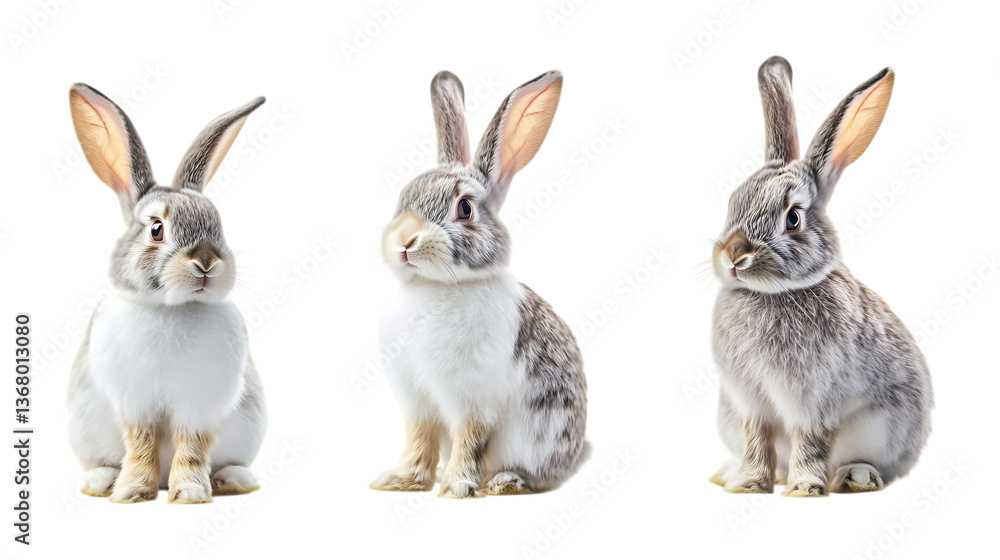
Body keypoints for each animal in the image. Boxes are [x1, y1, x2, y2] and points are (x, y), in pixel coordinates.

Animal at [66, 83, 267, 504]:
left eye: (217, 224)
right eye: (156, 229)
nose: (206, 262)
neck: (171, 308)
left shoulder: (201, 402)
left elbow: (192, 446)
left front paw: (190, 492)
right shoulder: (135, 402)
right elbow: (141, 445)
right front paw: (131, 492)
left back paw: (232, 480)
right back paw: (102, 482)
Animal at [370, 71, 590, 498]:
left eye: (464, 209)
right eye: (404, 198)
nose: (404, 240)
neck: (434, 287)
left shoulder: (473, 398)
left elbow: (469, 439)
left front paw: (457, 486)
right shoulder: (417, 401)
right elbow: (419, 439)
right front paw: (401, 481)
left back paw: (503, 482)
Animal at [709, 57, 933, 496]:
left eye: (793, 218)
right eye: (733, 202)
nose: (734, 256)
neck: (771, 293)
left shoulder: (814, 398)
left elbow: (810, 439)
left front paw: (803, 489)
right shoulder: (749, 401)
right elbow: (757, 439)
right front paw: (748, 484)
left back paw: (854, 478)